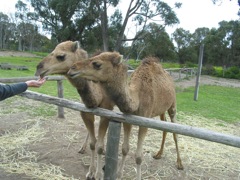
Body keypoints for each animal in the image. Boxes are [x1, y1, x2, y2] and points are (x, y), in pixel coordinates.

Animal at [34, 41, 115, 179]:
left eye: (61, 56)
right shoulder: (85, 111)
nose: (39, 68)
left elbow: (98, 146)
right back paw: (82, 148)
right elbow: (93, 143)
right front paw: (90, 172)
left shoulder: (106, 111)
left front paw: (98, 174)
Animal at [67, 51, 184, 179]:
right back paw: (158, 154)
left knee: (175, 131)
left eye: (97, 64)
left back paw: (179, 163)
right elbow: (124, 149)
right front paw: (118, 175)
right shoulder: (128, 119)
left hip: (172, 105)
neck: (138, 98)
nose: (72, 68)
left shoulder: (144, 121)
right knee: (165, 127)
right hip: (161, 109)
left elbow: (138, 157)